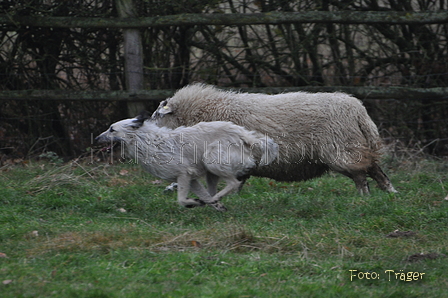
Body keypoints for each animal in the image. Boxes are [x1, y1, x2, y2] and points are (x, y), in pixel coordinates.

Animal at [96, 112, 278, 212]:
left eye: (112, 129)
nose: (96, 138)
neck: (147, 142)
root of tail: (246, 136)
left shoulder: (184, 174)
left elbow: (182, 200)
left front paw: (194, 203)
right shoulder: (192, 179)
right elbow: (200, 195)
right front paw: (210, 205)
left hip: (211, 160)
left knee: (233, 183)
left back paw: (214, 199)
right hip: (211, 173)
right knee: (214, 191)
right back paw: (214, 202)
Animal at [152, 82, 398, 194]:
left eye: (157, 115)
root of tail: (358, 110)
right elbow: (238, 181)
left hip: (342, 149)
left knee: (361, 175)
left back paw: (364, 197)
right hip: (355, 146)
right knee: (376, 170)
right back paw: (388, 194)